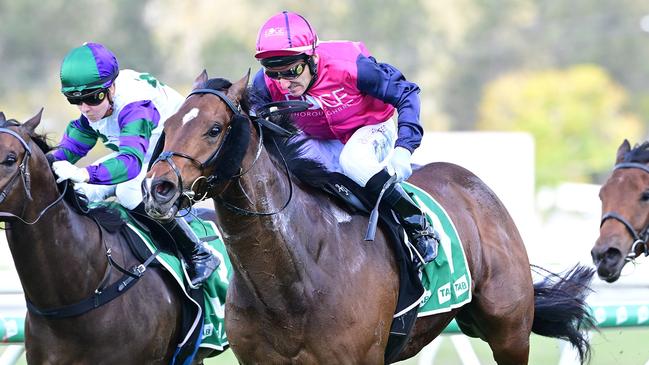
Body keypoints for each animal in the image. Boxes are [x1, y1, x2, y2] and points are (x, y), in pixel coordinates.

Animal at [143, 72, 596, 364]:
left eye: (214, 129)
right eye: (167, 125)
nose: (158, 188)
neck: (292, 277)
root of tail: (473, 183)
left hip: (509, 329)